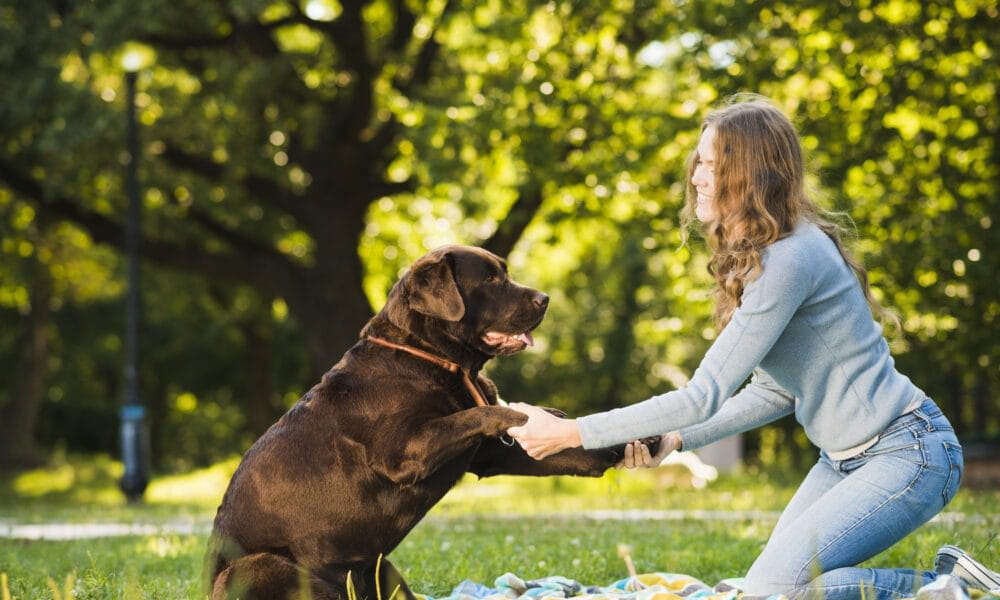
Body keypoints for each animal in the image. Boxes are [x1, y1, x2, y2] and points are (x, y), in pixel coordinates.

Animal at [204, 245, 656, 600]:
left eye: (505, 272)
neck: (434, 357)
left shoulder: (490, 456)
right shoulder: (401, 452)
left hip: (381, 567)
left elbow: (568, 450)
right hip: (255, 566)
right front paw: (528, 416)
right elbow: (480, 413)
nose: (544, 298)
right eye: (489, 279)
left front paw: (635, 441)